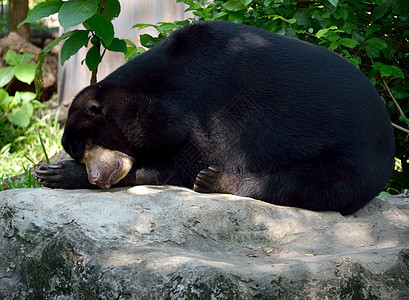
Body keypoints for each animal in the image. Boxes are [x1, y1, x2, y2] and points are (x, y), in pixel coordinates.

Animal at [34, 19, 392, 214]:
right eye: (79, 151)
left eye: (86, 144)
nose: (96, 177)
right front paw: (51, 171)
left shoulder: (206, 113)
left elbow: (178, 165)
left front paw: (57, 173)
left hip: (353, 157)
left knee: (311, 184)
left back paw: (214, 180)